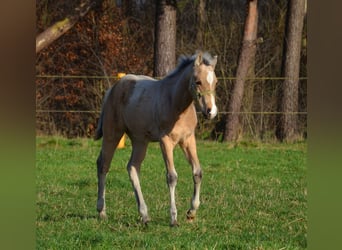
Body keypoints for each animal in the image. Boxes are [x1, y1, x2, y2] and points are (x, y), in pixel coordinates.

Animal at [94, 50, 216, 227]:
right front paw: (173, 218)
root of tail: (113, 89)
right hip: (112, 134)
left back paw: (144, 215)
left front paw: (191, 213)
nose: (210, 111)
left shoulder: (188, 140)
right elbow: (171, 177)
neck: (176, 104)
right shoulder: (165, 141)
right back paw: (102, 211)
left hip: (140, 141)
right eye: (198, 81)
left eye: (216, 82)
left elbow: (198, 172)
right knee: (103, 165)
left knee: (132, 167)